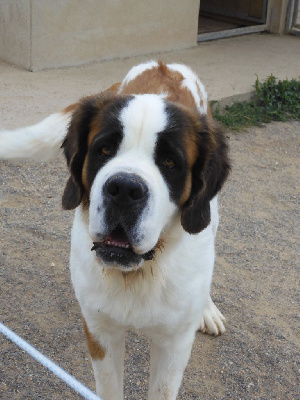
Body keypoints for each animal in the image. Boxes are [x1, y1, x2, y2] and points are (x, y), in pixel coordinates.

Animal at [0, 61, 230, 398]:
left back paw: (207, 309)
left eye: (170, 162)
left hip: (210, 217)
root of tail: (163, 65)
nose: (124, 189)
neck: (137, 274)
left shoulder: (173, 345)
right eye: (104, 149)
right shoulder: (99, 331)